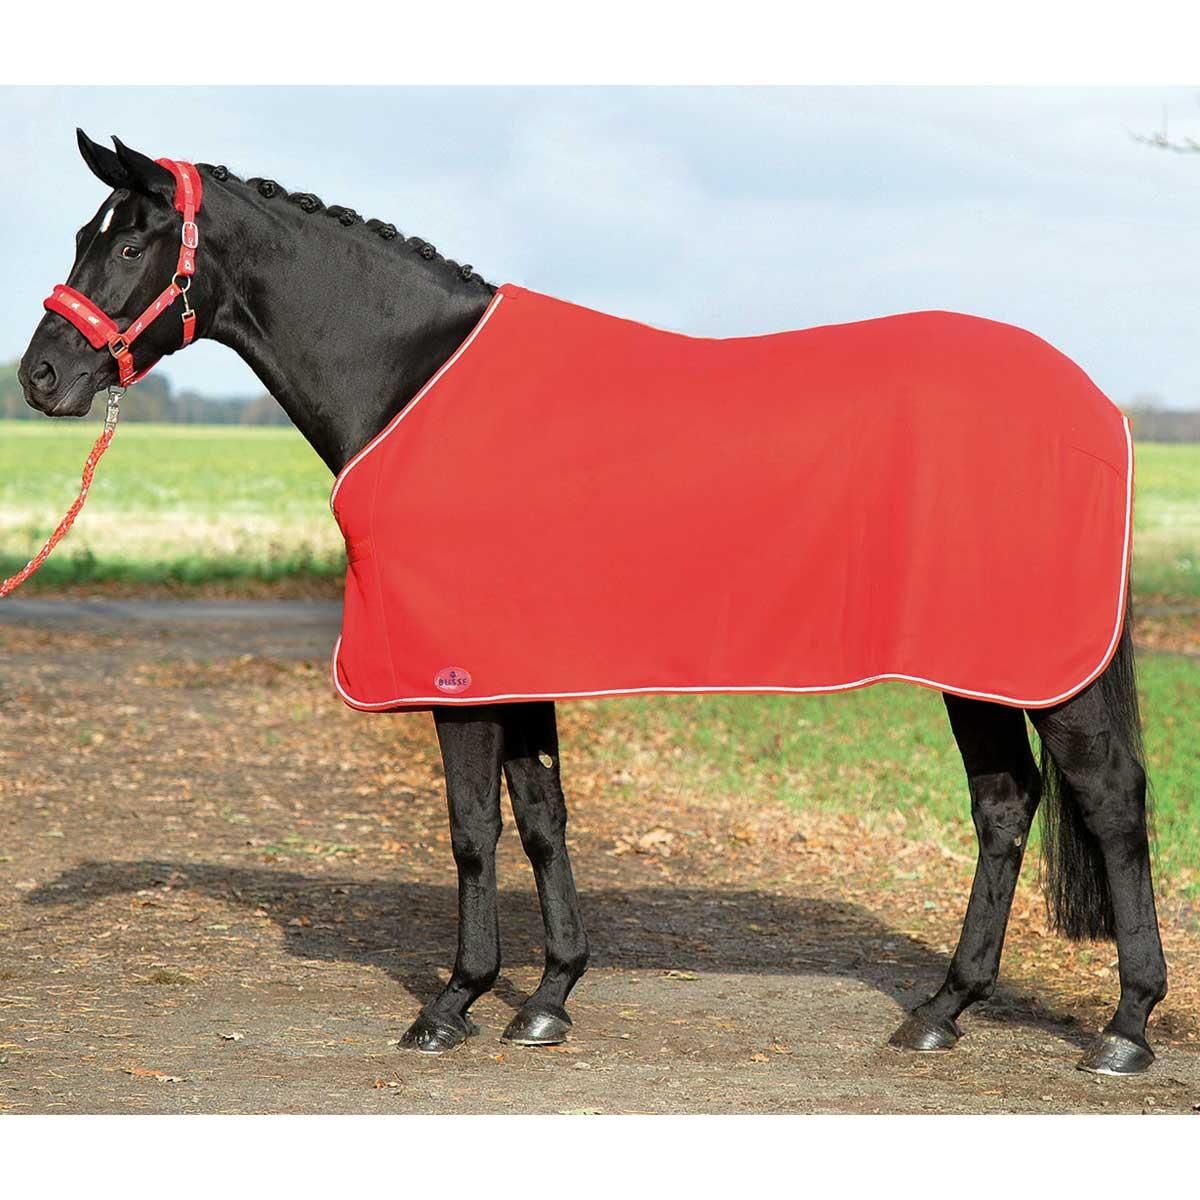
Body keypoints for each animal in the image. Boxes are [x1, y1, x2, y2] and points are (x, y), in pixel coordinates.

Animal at [16, 131, 1167, 1075]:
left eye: (132, 244)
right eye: (82, 234)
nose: (41, 377)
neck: (410, 374)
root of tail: (1096, 403)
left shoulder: (458, 672)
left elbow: (472, 830)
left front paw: (453, 1003)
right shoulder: (515, 669)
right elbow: (541, 819)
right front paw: (549, 996)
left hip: (1033, 667)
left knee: (1108, 800)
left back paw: (1125, 1028)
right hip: (978, 668)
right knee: (1006, 805)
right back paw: (942, 1010)